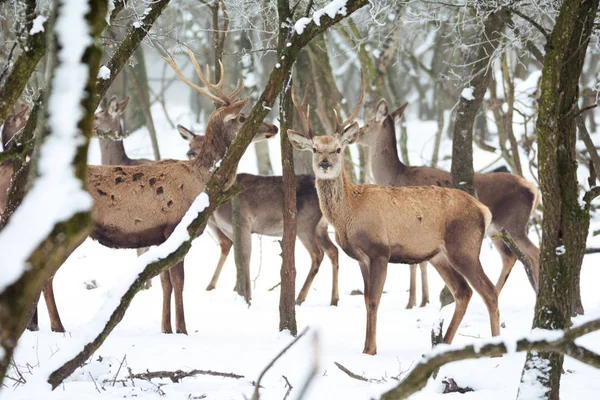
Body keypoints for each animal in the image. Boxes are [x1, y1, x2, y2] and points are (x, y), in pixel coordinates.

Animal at [176, 123, 340, 304]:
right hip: (320, 227)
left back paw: (299, 297)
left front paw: (246, 297)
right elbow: (238, 258)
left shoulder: (243, 223)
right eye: (190, 146)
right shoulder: (231, 229)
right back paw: (334, 299)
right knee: (333, 251)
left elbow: (244, 258)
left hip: (305, 224)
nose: (190, 154)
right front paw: (237, 290)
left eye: (205, 145)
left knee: (318, 254)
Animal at [288, 80, 500, 354]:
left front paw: (370, 349)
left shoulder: (380, 250)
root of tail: (482, 209)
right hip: (439, 255)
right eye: (315, 149)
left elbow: (374, 299)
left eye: (338, 149)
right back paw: (443, 344)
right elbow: (367, 298)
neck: (350, 214)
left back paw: (494, 345)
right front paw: (367, 347)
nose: (325, 163)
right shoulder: (361, 258)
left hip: (464, 246)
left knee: (489, 291)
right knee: (463, 291)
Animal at [356, 100, 540, 294]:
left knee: (533, 253)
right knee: (509, 257)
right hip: (496, 228)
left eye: (367, 124)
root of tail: (533, 190)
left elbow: (416, 264)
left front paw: (417, 299)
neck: (395, 176)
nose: (355, 134)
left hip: (514, 223)